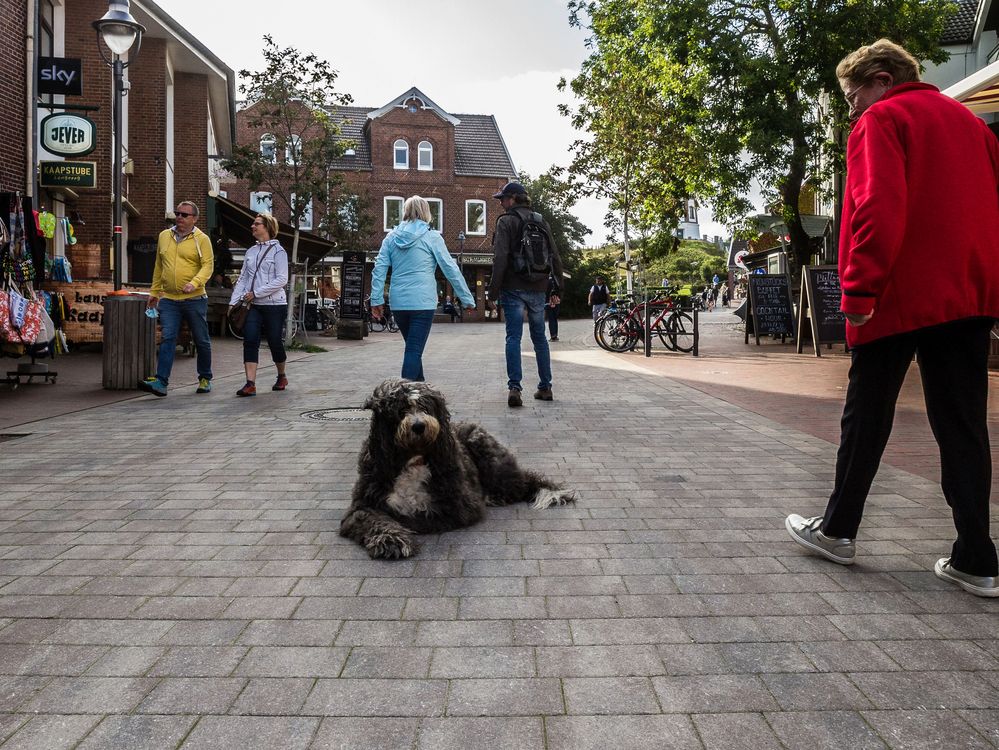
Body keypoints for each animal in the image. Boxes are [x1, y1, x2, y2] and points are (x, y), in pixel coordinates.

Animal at [344, 378, 580, 560]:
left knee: (521, 484)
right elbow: (371, 518)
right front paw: (390, 539)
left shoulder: (458, 506)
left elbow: (413, 517)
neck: (412, 459)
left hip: (488, 456)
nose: (419, 425)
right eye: (401, 409)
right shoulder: (362, 504)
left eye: (425, 406)